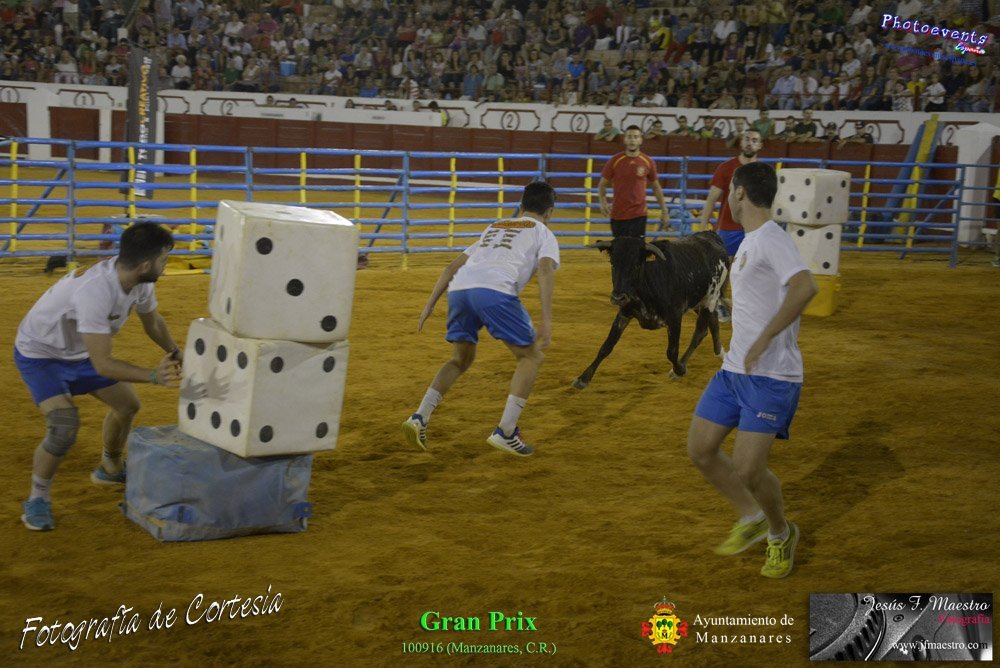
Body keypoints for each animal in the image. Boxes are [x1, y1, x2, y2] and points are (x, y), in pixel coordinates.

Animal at [572, 232, 729, 390]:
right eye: (612, 264)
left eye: (636, 265)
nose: (618, 298)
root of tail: (710, 235)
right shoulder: (624, 313)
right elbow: (607, 346)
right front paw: (583, 378)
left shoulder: (675, 317)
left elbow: (672, 351)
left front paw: (679, 369)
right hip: (699, 303)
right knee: (713, 322)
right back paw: (720, 353)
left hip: (710, 299)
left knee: (700, 332)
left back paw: (684, 364)